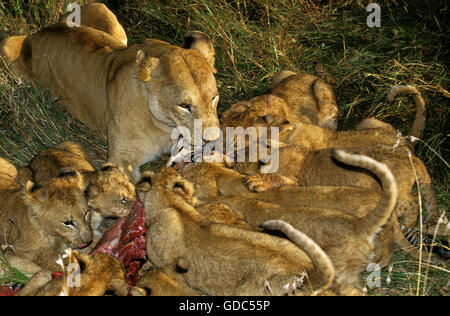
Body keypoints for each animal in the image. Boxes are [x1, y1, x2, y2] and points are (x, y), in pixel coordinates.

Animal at [1, 22, 220, 181]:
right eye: (184, 106)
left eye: (214, 98)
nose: (213, 138)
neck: (166, 126)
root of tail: (37, 32)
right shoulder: (120, 159)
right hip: (6, 46)